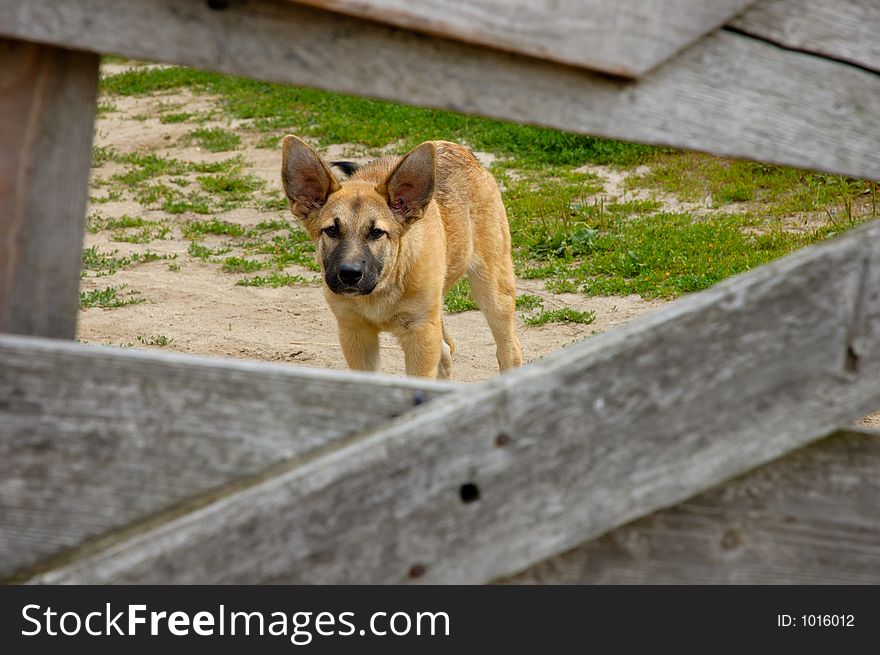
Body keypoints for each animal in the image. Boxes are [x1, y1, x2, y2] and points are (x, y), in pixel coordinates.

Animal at [282, 136, 520, 380]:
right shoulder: (355, 332)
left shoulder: (420, 335)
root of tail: (458, 148)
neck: (384, 285)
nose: (349, 274)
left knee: (509, 350)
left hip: (493, 290)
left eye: (376, 232)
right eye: (331, 230)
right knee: (447, 349)